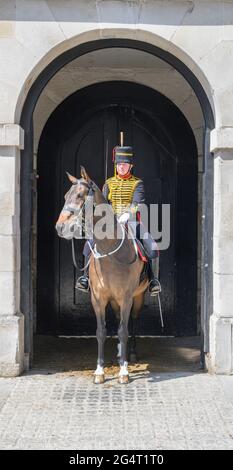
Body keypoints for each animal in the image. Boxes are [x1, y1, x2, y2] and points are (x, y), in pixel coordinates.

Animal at [55, 167, 148, 384]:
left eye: (80, 196)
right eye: (66, 196)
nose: (60, 227)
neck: (110, 250)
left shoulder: (126, 297)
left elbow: (123, 331)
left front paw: (124, 371)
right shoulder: (98, 298)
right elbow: (101, 332)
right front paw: (99, 371)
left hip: (137, 297)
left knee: (133, 320)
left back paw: (130, 353)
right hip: (113, 301)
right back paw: (120, 353)